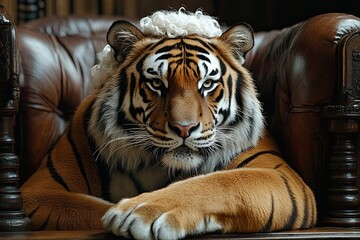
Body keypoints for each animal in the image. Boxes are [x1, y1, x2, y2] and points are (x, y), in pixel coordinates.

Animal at [19, 8, 316, 239]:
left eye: (207, 84)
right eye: (156, 84)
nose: (184, 129)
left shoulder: (280, 176)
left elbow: (220, 183)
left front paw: (142, 210)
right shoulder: (39, 192)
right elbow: (91, 209)